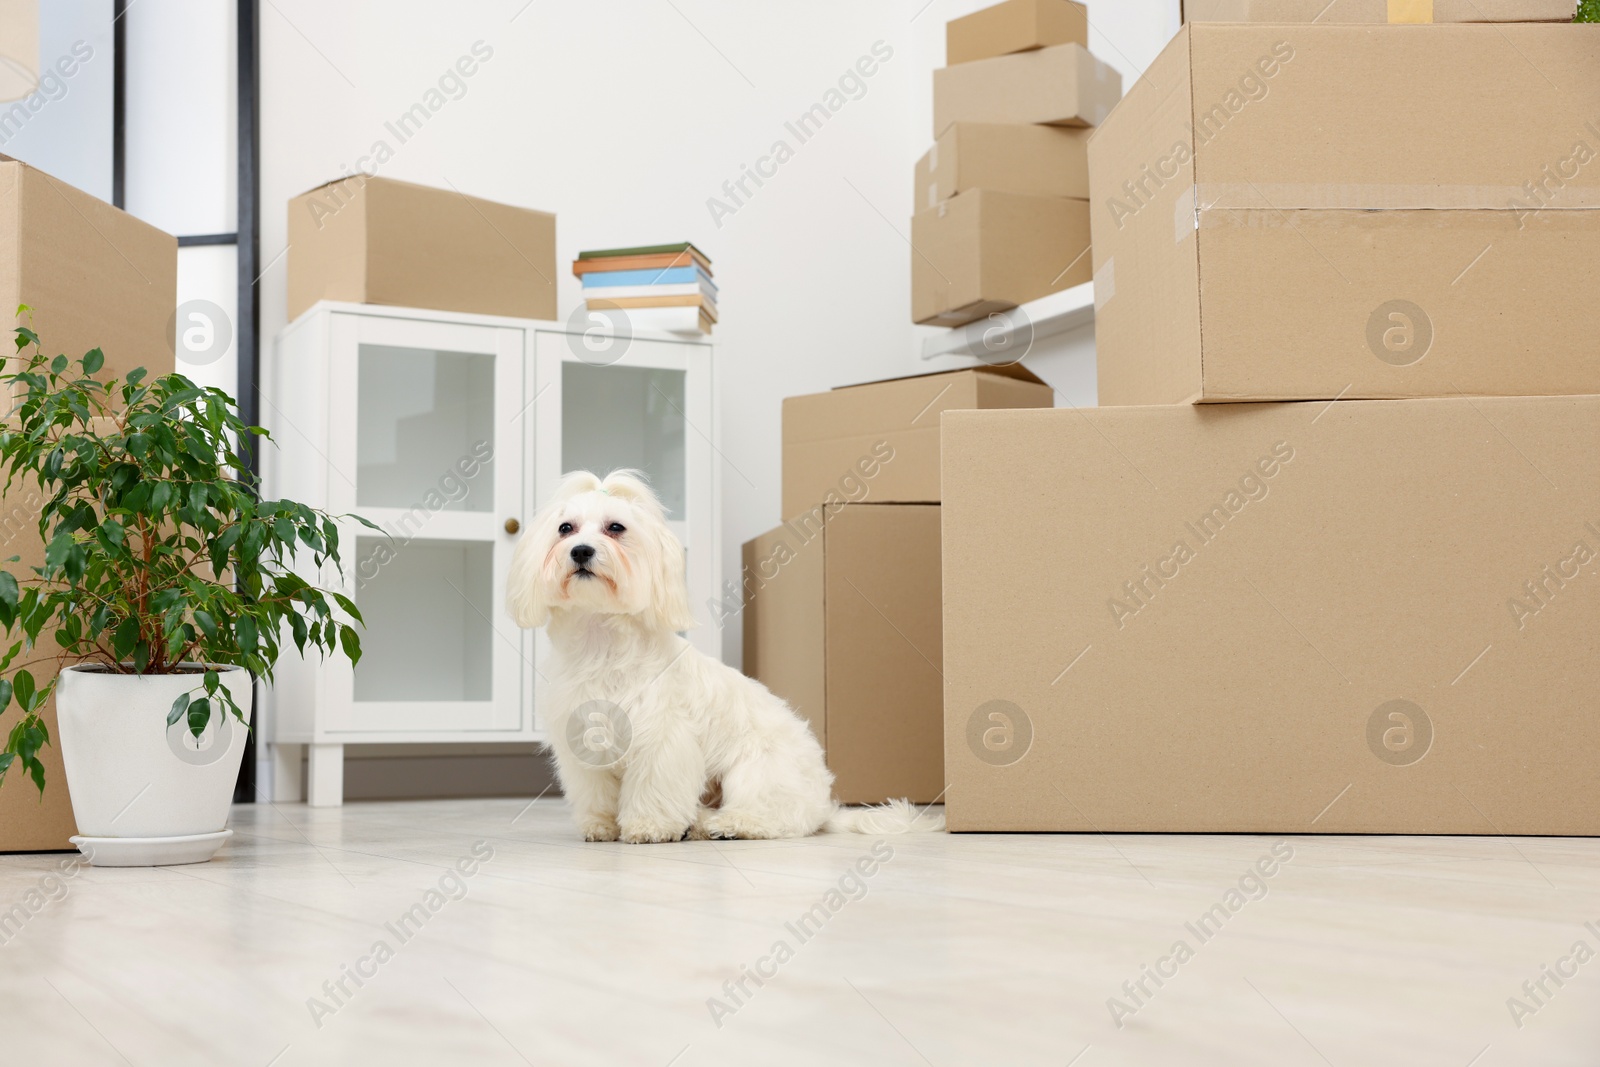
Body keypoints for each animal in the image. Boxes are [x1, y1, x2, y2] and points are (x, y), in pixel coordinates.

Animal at [505, 467, 940, 844]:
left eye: (616, 528)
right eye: (566, 528)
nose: (580, 551)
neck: (603, 645)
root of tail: (824, 807)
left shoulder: (662, 739)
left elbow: (652, 787)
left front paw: (648, 826)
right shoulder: (582, 742)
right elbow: (596, 791)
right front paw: (601, 825)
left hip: (755, 772)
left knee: (775, 818)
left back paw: (727, 824)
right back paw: (699, 823)